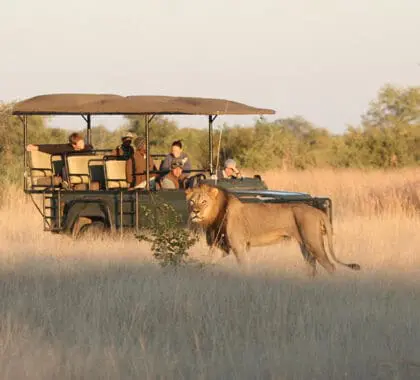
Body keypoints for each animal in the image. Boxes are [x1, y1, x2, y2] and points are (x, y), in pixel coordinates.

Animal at [185, 183, 362, 276]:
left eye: (204, 202)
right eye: (192, 202)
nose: (195, 212)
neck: (215, 215)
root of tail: (317, 211)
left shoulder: (238, 245)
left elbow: (244, 267)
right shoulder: (220, 246)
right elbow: (207, 262)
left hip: (314, 242)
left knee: (330, 266)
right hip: (305, 245)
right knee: (312, 267)